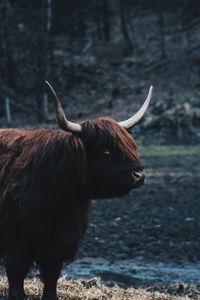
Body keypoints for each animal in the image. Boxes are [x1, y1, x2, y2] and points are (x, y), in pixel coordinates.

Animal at [0, 82, 152, 300]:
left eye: (131, 146)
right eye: (105, 150)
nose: (139, 175)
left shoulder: (58, 243)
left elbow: (52, 276)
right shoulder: (16, 240)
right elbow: (16, 276)